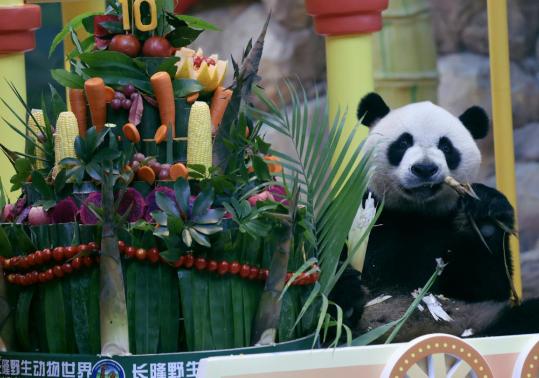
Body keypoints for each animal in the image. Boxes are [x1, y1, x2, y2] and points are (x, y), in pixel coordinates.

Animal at [332, 93, 539, 342]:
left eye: (446, 146)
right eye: (403, 143)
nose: (424, 168)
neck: (416, 212)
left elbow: (487, 284)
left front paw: (486, 210)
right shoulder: (361, 211)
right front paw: (345, 289)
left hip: (482, 318)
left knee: (525, 316)